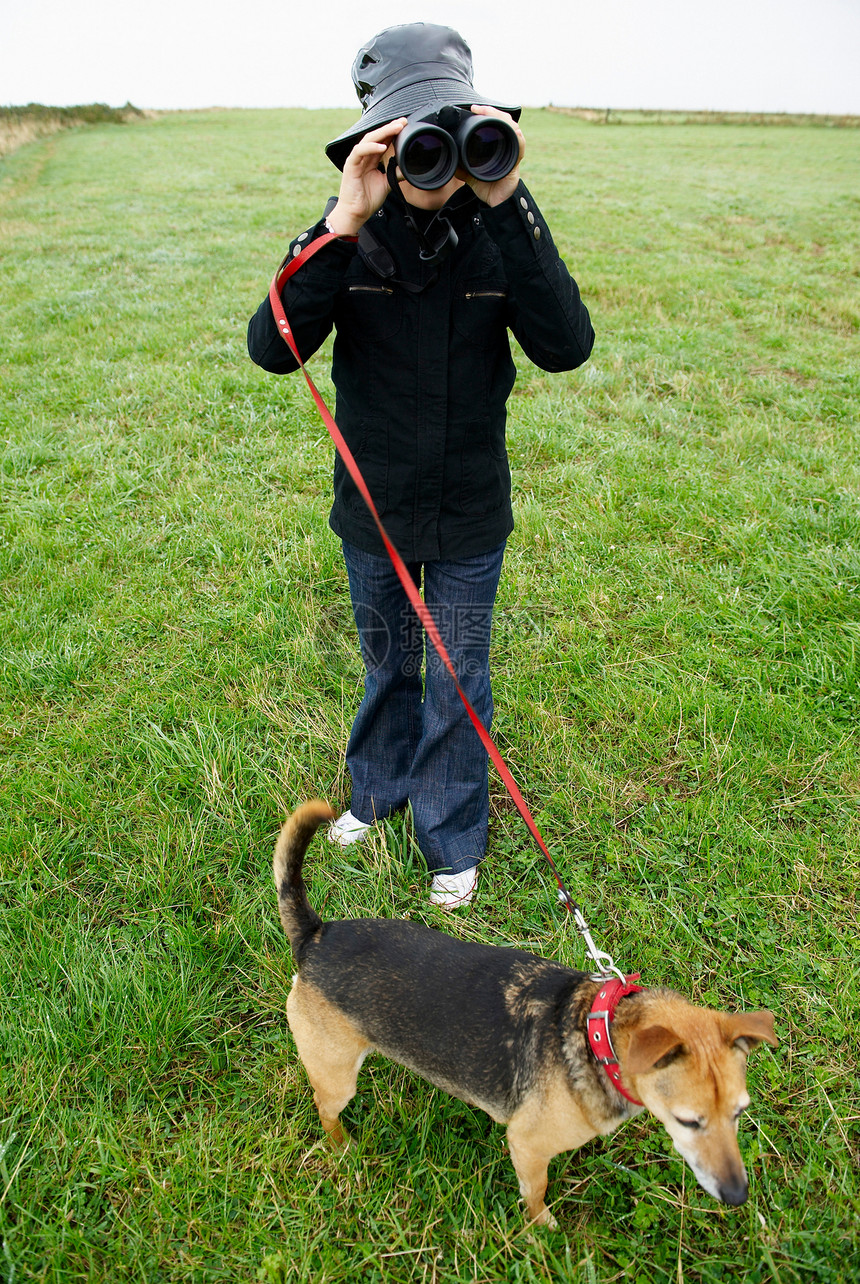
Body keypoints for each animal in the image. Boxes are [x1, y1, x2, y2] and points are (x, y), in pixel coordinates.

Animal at [275, 796, 780, 1227]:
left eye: (740, 1112)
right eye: (688, 1121)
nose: (738, 1196)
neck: (595, 1034)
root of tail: (315, 935)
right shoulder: (528, 1146)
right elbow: (536, 1195)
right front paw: (543, 1230)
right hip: (336, 1075)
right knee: (326, 1108)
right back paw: (343, 1147)